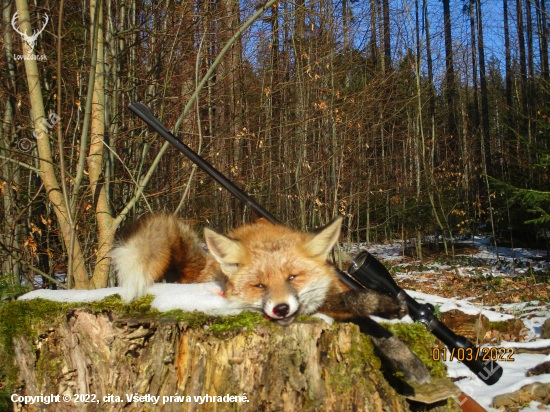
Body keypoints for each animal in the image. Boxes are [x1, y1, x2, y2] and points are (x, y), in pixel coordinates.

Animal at [112, 214, 432, 384]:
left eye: (292, 277)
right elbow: (354, 303)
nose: (280, 308)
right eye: (258, 285)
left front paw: (409, 362)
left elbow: (379, 331)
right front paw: (380, 304)